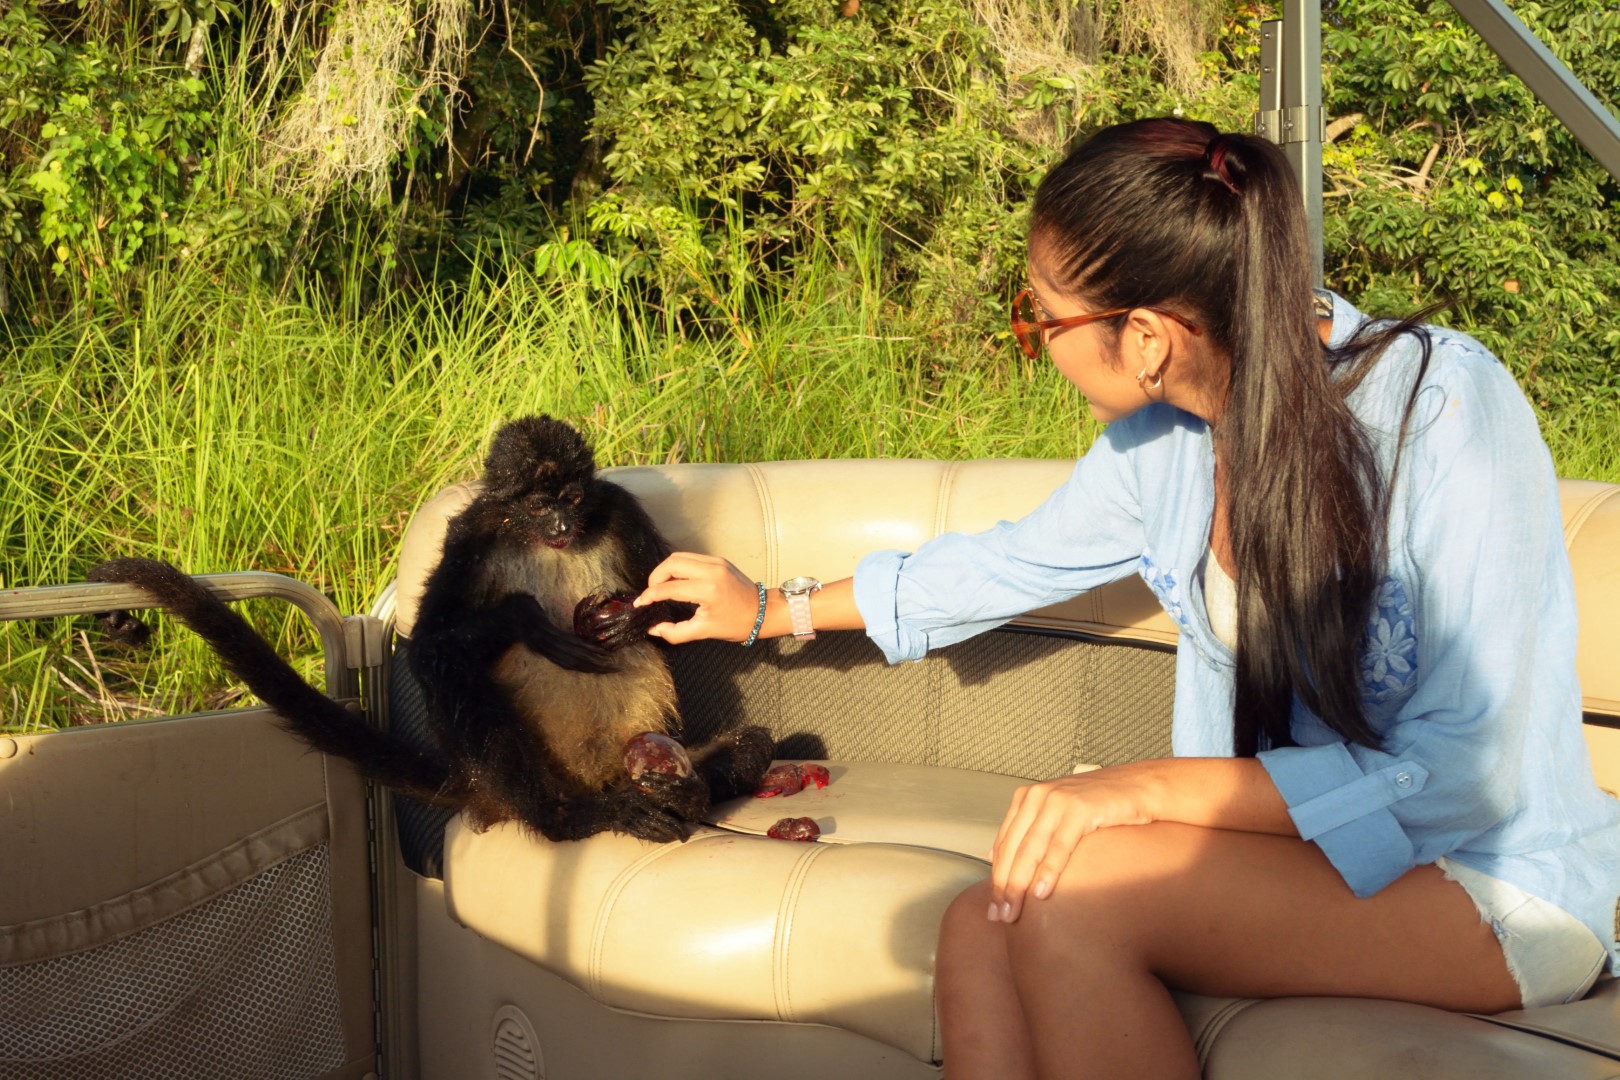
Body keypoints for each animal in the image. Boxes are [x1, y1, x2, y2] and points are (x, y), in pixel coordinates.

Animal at [93, 414, 777, 841]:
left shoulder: (617, 508)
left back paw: (685, 795)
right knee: (453, 669)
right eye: (539, 503)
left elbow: (692, 607)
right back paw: (569, 820)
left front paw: (631, 620)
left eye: (571, 497)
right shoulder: (473, 530)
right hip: (525, 780)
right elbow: (427, 648)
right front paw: (523, 621)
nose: (561, 523)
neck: (544, 539)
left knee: (752, 744)